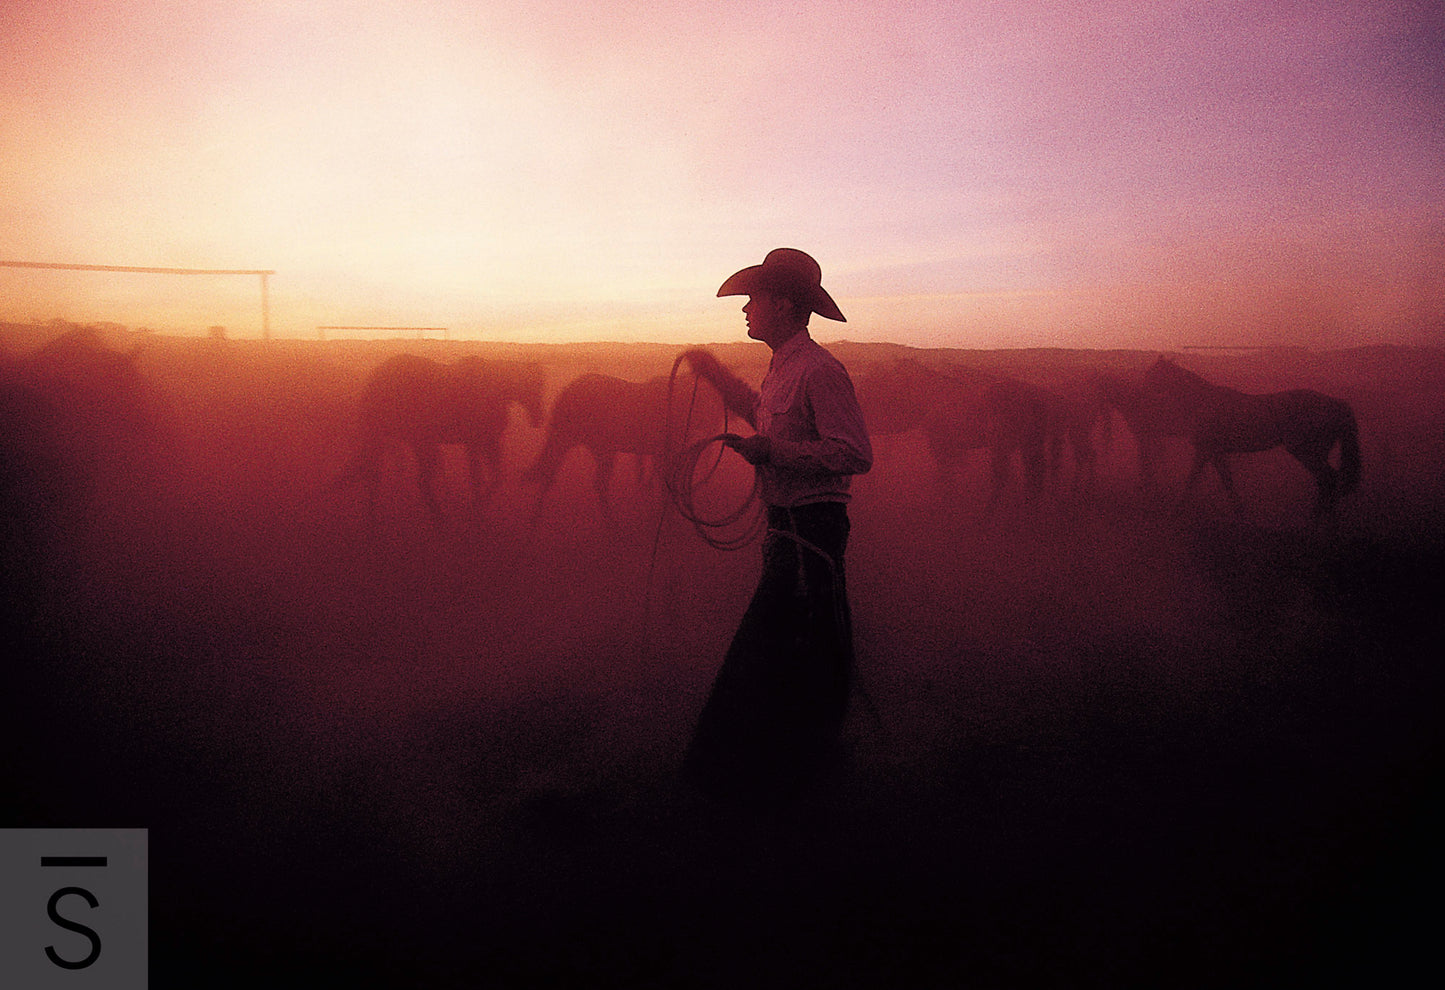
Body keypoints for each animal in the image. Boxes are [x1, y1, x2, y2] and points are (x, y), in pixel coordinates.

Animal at [343, 355, 546, 526]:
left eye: (540, 386)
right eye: (534, 386)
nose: (539, 419)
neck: (494, 391)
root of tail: (373, 379)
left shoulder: (489, 442)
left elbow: (495, 478)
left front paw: (480, 507)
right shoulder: (475, 444)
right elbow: (478, 479)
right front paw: (476, 508)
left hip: (406, 443)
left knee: (383, 476)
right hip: (408, 442)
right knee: (401, 478)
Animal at [1132, 352, 1358, 514]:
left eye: (1152, 375)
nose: (1140, 393)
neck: (1203, 401)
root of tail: (1335, 403)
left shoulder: (1206, 450)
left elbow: (1194, 479)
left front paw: (1177, 509)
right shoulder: (1214, 452)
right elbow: (1226, 480)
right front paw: (1240, 512)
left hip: (1306, 452)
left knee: (1328, 479)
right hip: (1316, 452)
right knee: (1326, 481)